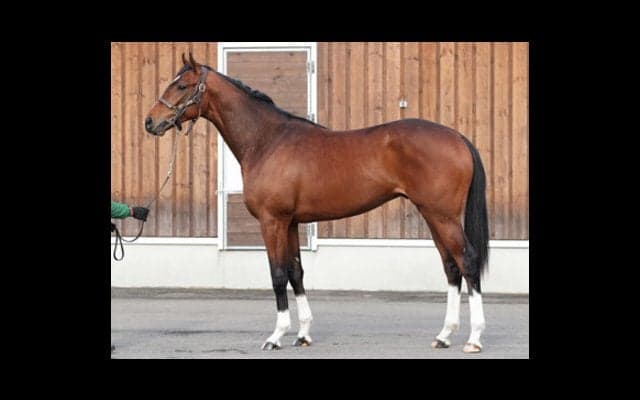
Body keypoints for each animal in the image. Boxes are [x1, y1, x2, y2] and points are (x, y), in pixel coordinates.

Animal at [145, 53, 489, 353]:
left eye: (182, 85)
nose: (150, 122)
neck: (268, 141)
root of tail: (458, 138)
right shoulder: (291, 223)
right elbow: (296, 273)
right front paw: (303, 334)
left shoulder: (273, 222)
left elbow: (278, 274)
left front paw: (276, 336)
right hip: (433, 215)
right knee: (451, 267)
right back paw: (444, 336)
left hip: (442, 216)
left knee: (468, 262)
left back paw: (474, 339)